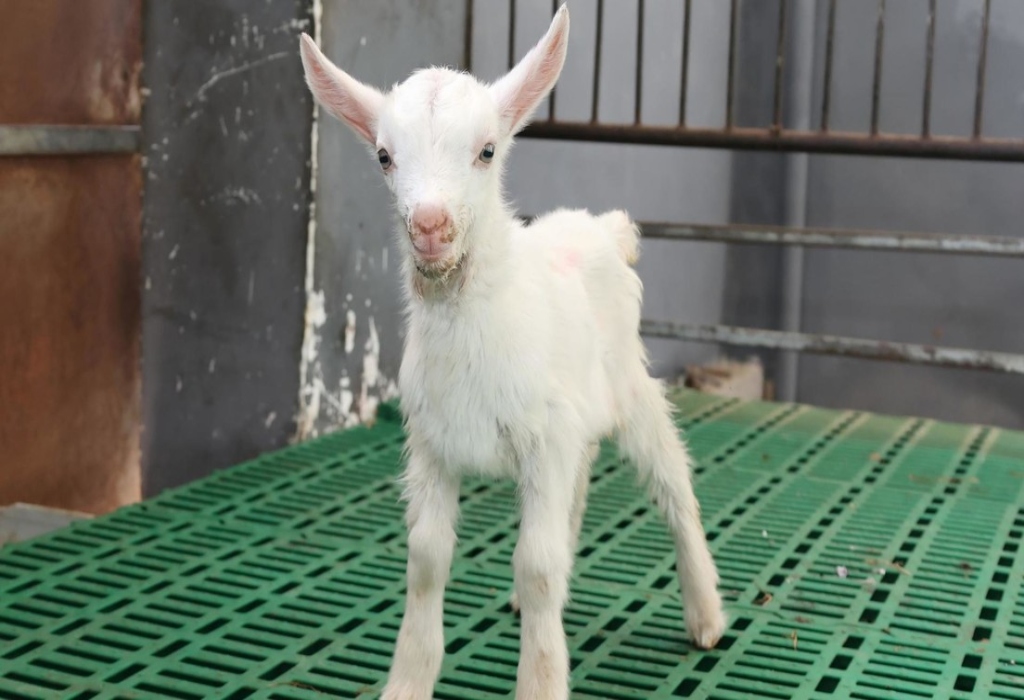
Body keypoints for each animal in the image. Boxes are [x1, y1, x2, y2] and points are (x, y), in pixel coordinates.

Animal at [299, 7, 725, 699]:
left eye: (488, 149)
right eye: (385, 156)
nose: (431, 227)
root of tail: (602, 227)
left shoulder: (542, 440)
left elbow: (537, 563)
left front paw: (541, 680)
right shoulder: (433, 445)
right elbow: (427, 557)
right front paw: (408, 680)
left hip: (629, 385)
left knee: (671, 482)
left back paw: (706, 615)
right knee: (580, 482)